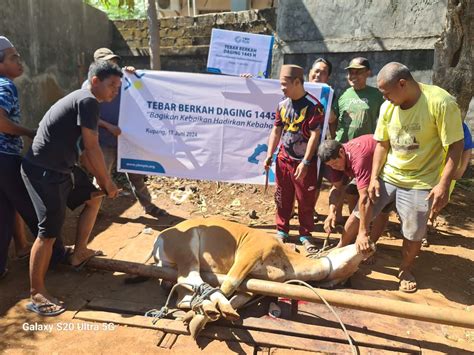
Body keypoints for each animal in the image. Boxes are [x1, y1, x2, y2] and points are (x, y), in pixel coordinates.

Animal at [153, 217, 374, 340]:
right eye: (349, 247)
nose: (370, 244)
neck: (288, 261)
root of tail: (159, 238)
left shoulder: (256, 283)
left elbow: (238, 298)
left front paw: (203, 317)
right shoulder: (250, 252)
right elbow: (228, 285)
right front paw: (200, 317)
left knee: (182, 292)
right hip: (186, 246)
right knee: (191, 277)